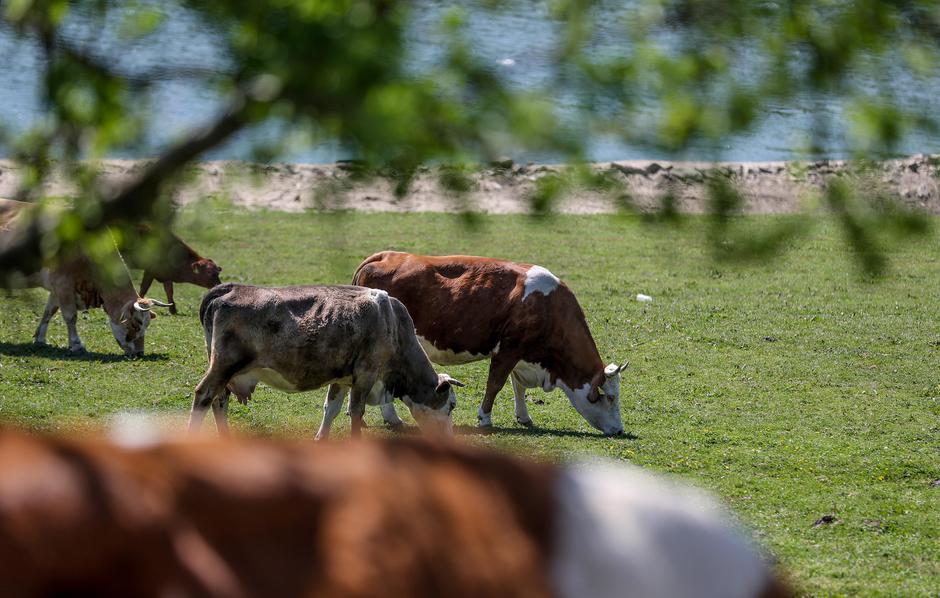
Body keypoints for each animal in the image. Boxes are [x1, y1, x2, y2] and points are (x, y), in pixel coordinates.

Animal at [191, 284, 462, 438]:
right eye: (451, 405)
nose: (449, 439)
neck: (392, 323)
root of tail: (229, 289)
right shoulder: (365, 374)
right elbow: (356, 412)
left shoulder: (342, 377)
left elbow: (331, 409)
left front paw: (320, 439)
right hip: (223, 366)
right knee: (204, 396)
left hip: (226, 371)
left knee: (219, 401)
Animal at [356, 252, 628, 436]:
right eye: (611, 397)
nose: (619, 430)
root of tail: (385, 255)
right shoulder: (508, 349)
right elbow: (495, 384)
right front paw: (485, 418)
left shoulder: (522, 354)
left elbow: (518, 386)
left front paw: (524, 417)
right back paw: (392, 418)